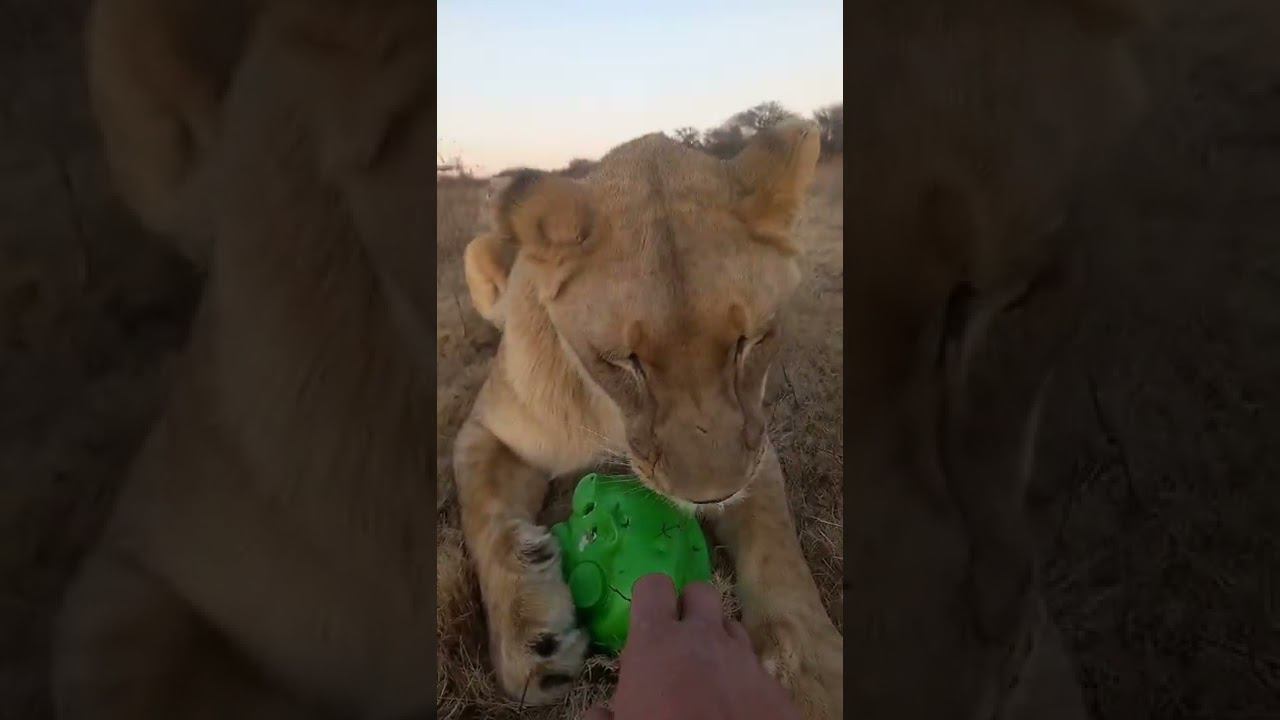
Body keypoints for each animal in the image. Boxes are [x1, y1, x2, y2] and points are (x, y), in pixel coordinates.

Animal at [454, 122, 842, 715]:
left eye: (748, 342)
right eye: (622, 361)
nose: (711, 496)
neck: (610, 412)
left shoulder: (754, 443)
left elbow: (776, 545)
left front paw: (814, 676)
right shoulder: (486, 430)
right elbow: (485, 517)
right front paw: (531, 642)